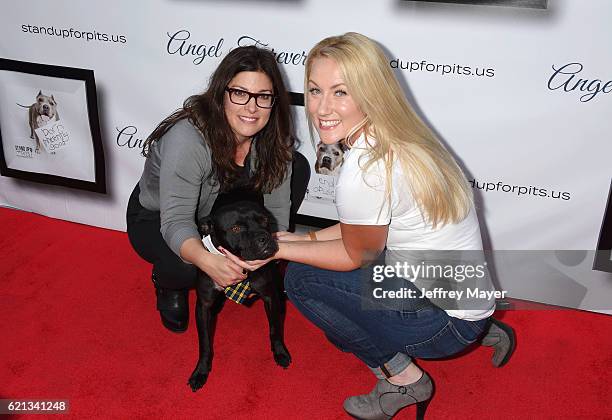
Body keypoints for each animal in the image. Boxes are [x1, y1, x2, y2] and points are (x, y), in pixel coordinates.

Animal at [188, 200, 290, 390]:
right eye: (235, 229)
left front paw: (280, 351)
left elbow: (274, 329)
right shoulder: (203, 306)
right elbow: (204, 342)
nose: (264, 238)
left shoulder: (269, 297)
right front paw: (201, 370)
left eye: (265, 220)